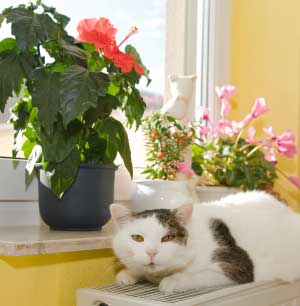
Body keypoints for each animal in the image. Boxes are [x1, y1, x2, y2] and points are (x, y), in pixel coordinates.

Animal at [110, 190, 300, 292]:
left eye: (168, 238)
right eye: (137, 238)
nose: (151, 252)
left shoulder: (238, 266)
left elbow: (199, 275)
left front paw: (174, 280)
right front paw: (128, 273)